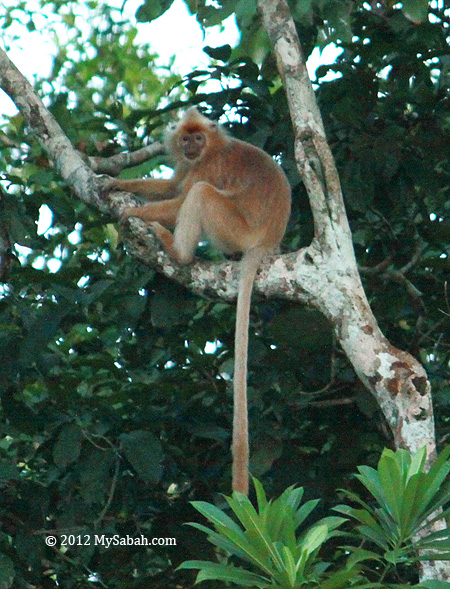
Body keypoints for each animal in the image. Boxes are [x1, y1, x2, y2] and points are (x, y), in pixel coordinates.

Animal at [109, 108, 292, 494]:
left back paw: (177, 252)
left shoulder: (210, 167)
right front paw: (115, 184)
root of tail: (267, 242)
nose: (191, 146)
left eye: (199, 138)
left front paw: (134, 214)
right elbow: (171, 186)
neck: (208, 152)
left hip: (235, 228)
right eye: (186, 138)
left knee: (200, 195)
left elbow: (182, 197)